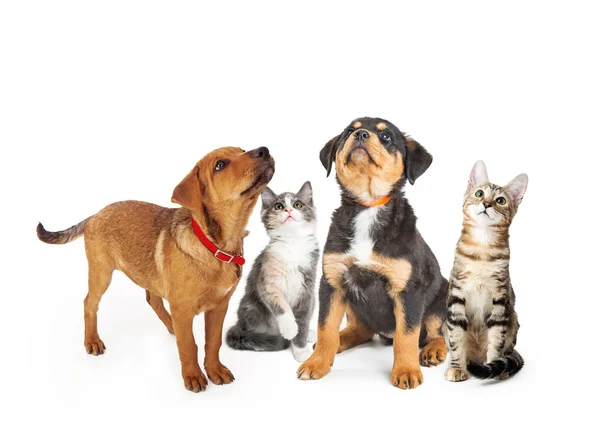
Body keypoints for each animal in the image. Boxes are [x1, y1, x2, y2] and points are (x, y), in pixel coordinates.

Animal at [38, 146, 278, 392]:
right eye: (220, 165)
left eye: (242, 150)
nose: (264, 150)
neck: (214, 246)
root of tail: (94, 215)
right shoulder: (183, 308)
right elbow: (189, 345)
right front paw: (193, 376)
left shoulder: (219, 306)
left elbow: (212, 342)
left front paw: (215, 370)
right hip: (101, 273)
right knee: (89, 304)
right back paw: (92, 341)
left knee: (153, 300)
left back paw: (171, 325)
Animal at [225, 181, 318, 362]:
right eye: (278, 206)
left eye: (298, 204)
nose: (288, 210)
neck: (292, 243)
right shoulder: (267, 282)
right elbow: (281, 306)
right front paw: (290, 328)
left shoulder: (307, 290)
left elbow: (302, 321)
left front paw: (301, 350)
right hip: (251, 308)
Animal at [298, 118, 448, 390]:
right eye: (349, 130)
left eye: (386, 136)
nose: (360, 134)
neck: (368, 206)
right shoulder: (332, 282)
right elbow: (325, 328)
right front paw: (316, 364)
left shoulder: (407, 289)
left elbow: (406, 335)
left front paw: (406, 371)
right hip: (353, 304)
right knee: (361, 330)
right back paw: (342, 339)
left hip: (441, 296)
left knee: (436, 332)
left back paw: (433, 351)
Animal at [442, 160, 528, 382]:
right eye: (479, 194)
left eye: (500, 200)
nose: (487, 204)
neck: (482, 247)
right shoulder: (456, 296)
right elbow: (457, 339)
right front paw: (457, 367)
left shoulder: (500, 300)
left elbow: (496, 340)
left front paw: (494, 366)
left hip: (514, 320)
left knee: (506, 349)